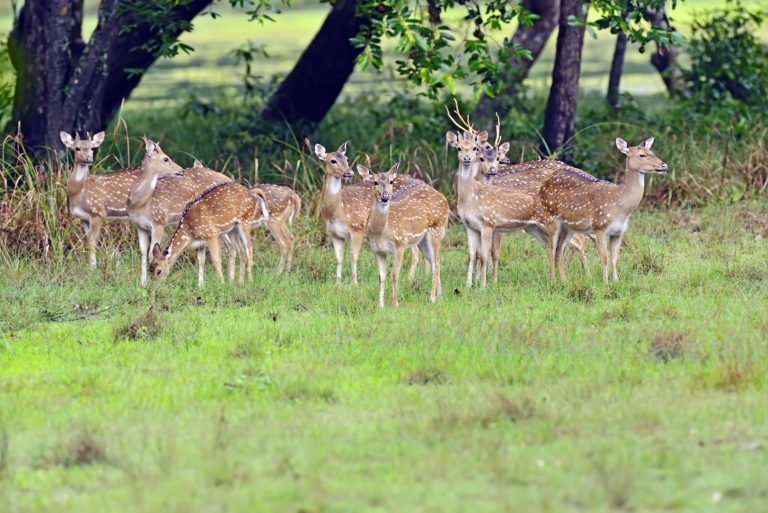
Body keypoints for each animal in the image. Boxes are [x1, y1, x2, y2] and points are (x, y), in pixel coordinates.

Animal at [60, 131, 141, 270]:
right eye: (77, 148)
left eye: (92, 148)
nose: (88, 159)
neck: (80, 194)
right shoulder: (83, 218)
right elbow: (88, 241)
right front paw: (91, 267)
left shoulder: (98, 213)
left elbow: (93, 242)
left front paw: (92, 268)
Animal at [127, 139, 231, 286]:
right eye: (166, 159)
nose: (181, 170)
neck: (141, 204)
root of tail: (229, 179)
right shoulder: (139, 225)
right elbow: (142, 252)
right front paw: (143, 283)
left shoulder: (159, 222)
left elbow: (150, 253)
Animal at [366, 163, 449, 307]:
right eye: (375, 182)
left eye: (391, 181)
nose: (385, 197)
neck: (382, 231)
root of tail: (445, 199)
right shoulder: (378, 250)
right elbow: (381, 277)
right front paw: (380, 305)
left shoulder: (400, 244)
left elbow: (394, 275)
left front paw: (395, 303)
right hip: (422, 241)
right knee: (434, 261)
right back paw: (440, 296)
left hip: (436, 229)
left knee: (437, 263)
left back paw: (432, 299)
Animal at [540, 137, 668, 283]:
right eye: (642, 155)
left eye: (652, 152)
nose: (664, 166)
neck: (622, 206)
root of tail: (542, 187)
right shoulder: (600, 227)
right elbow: (604, 258)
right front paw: (605, 283)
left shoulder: (619, 232)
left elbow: (614, 259)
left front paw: (616, 281)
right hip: (550, 216)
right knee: (550, 248)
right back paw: (553, 281)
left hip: (568, 226)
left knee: (559, 249)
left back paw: (564, 281)